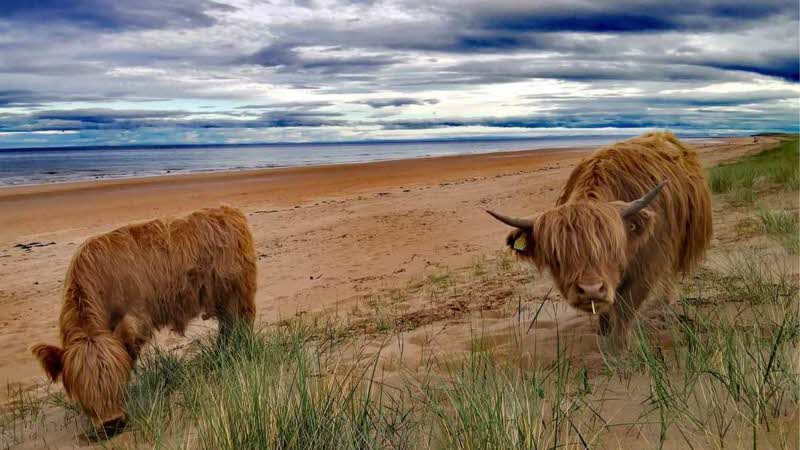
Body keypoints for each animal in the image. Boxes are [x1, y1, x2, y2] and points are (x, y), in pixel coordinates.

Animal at [32, 206, 257, 434]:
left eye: (116, 385)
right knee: (227, 327)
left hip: (237, 295)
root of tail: (229, 211)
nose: (111, 424)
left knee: (241, 325)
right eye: (83, 394)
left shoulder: (135, 321)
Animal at [488, 131, 712, 345]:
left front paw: (617, 347)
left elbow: (625, 309)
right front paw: (603, 333)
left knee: (669, 276)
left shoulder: (648, 266)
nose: (590, 290)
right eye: (557, 257)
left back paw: (666, 306)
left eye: (612, 250)